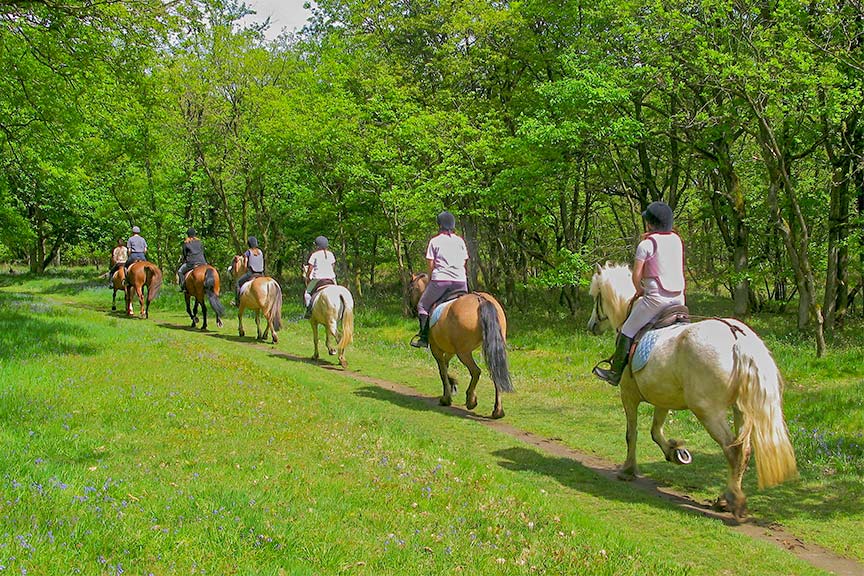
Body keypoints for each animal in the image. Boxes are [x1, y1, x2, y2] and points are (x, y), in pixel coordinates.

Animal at [406, 276, 512, 418]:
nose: (410, 311)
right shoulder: (451, 350)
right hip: (490, 348)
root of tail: (480, 299)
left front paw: (446, 398)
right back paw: (498, 411)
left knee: (475, 371)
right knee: (495, 373)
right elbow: (446, 365)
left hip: (464, 353)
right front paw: (453, 384)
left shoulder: (436, 349)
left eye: (410, 289)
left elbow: (442, 371)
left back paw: (471, 400)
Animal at [588, 260, 796, 516]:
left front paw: (628, 470)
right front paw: (675, 452)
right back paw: (726, 497)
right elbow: (655, 431)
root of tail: (736, 336)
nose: (591, 326)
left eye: (596, 296)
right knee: (744, 451)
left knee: (732, 449)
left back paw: (730, 500)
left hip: (707, 410)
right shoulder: (662, 397)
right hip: (741, 410)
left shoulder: (628, 395)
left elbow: (631, 434)